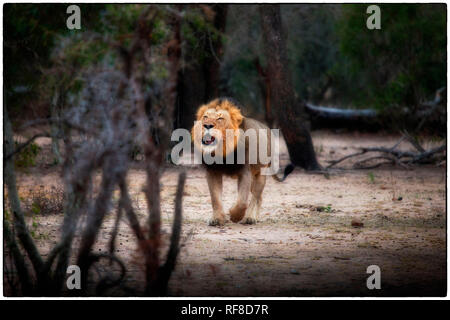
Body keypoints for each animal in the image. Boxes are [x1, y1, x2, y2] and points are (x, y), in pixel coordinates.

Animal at [192, 97, 294, 225]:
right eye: (205, 117)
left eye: (220, 118)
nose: (207, 125)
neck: (223, 151)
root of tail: (267, 128)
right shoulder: (212, 172)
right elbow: (215, 198)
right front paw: (217, 219)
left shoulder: (245, 172)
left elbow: (242, 202)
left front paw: (235, 216)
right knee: (259, 197)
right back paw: (255, 217)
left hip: (260, 174)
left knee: (255, 197)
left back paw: (250, 218)